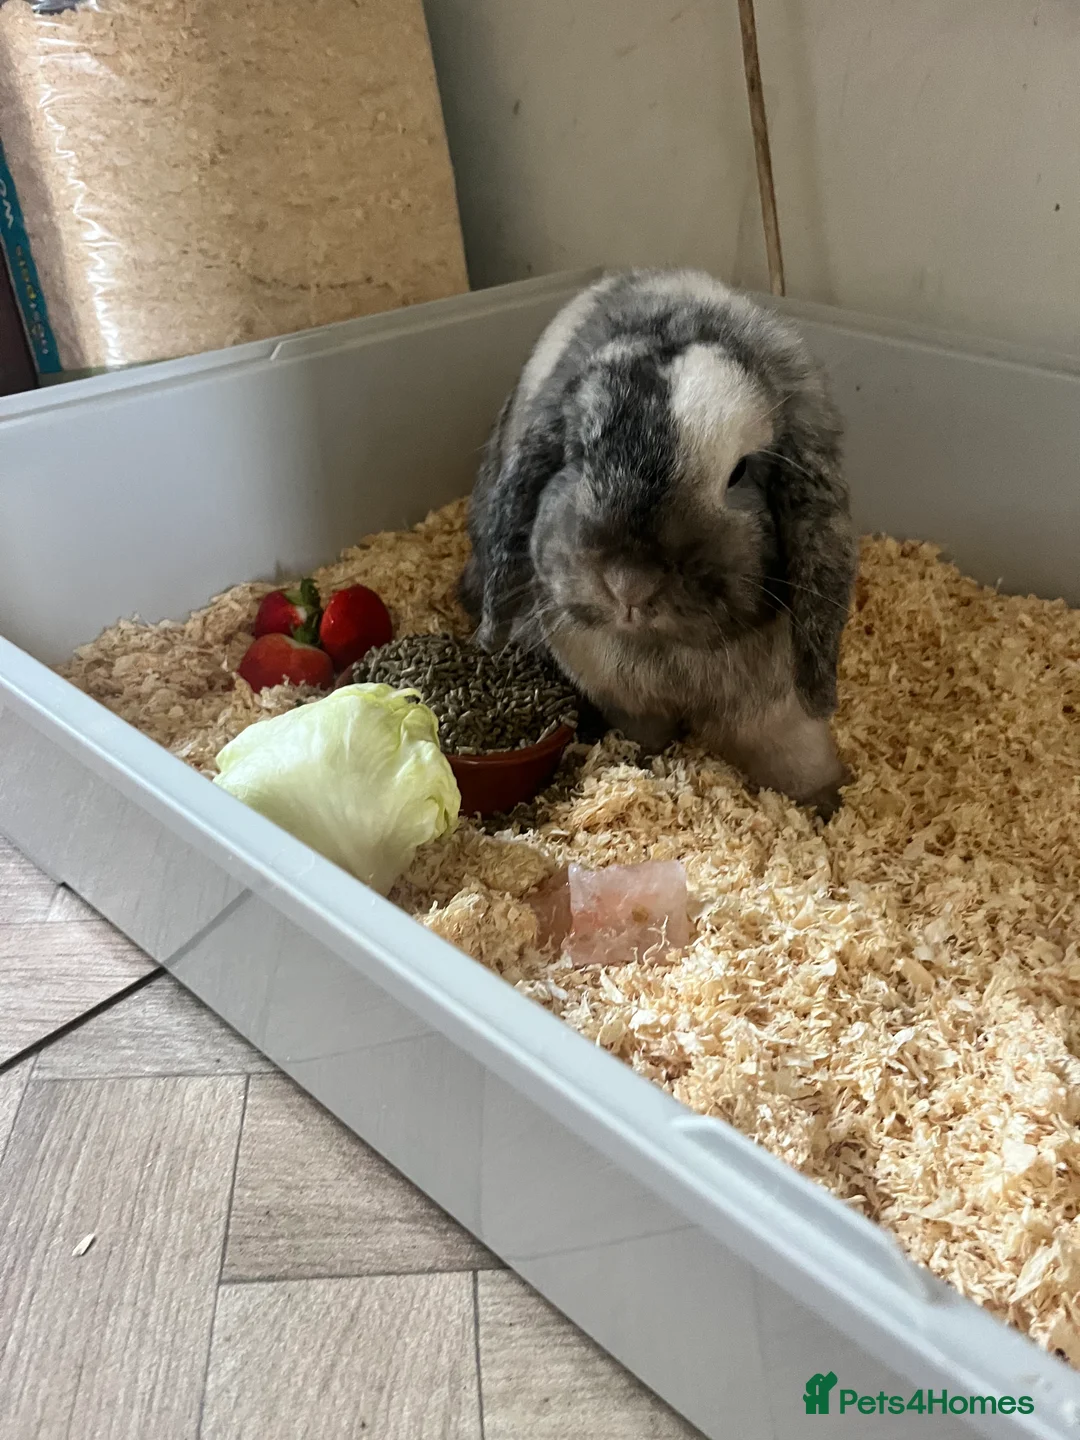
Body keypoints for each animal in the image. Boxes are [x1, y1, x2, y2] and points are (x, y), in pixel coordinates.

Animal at [459, 269, 858, 816]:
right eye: (577, 453)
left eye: (739, 473)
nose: (630, 585)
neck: (667, 651)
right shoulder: (626, 702)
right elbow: (645, 735)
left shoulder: (778, 715)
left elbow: (798, 759)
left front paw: (828, 805)